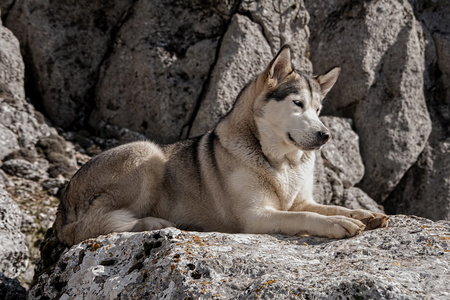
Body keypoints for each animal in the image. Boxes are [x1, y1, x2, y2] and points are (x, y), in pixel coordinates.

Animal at [55, 44, 386, 246]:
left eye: (318, 109)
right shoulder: (257, 216)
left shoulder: (300, 200)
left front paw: (362, 214)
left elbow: (330, 206)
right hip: (147, 153)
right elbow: (305, 217)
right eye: (297, 104)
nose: (325, 135)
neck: (282, 162)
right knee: (98, 225)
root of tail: (63, 208)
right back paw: (153, 222)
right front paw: (338, 224)